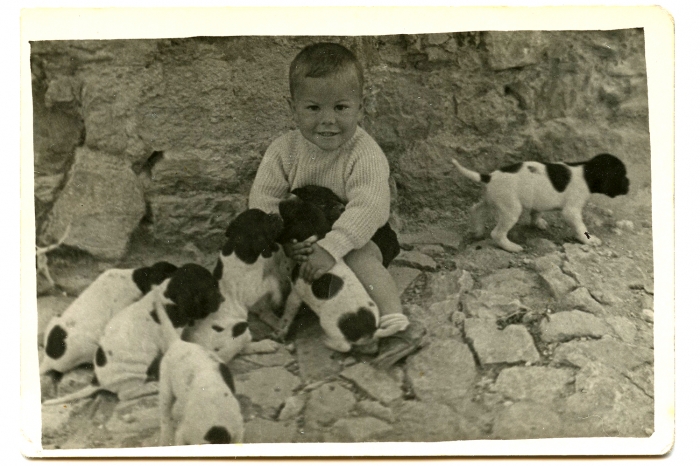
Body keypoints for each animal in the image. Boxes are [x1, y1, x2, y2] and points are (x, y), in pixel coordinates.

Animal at [155, 282, 243, 446]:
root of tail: (178, 343)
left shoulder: (238, 431)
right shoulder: (184, 434)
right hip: (165, 387)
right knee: (165, 415)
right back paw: (164, 437)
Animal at [185, 208, 288, 364]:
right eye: (266, 220)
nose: (276, 214)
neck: (238, 247)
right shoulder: (252, 291)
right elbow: (272, 281)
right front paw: (278, 294)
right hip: (240, 329)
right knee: (235, 350)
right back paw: (265, 344)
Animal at [452, 154, 632, 253]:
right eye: (621, 176)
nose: (629, 185)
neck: (586, 173)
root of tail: (490, 176)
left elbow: (536, 212)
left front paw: (537, 223)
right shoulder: (572, 211)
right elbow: (581, 228)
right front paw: (589, 240)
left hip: (491, 200)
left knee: (476, 209)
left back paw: (477, 231)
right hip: (511, 210)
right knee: (497, 233)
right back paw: (511, 247)